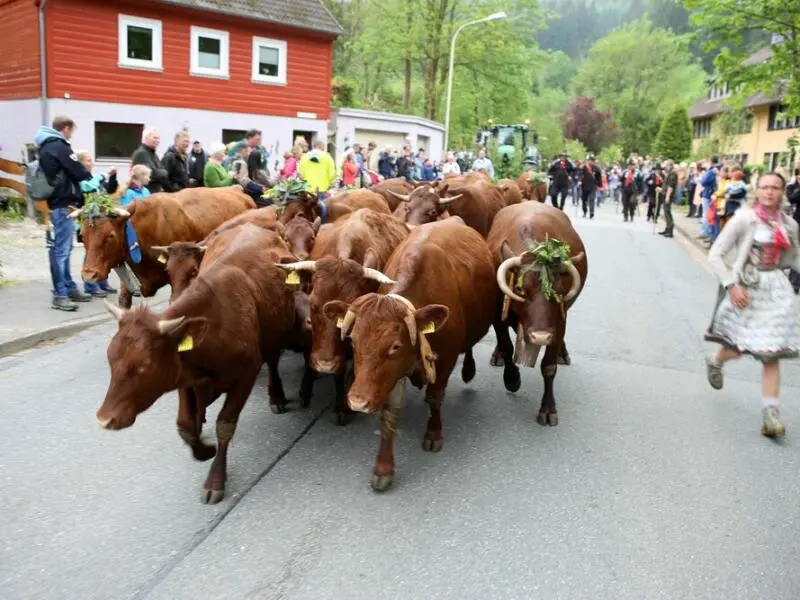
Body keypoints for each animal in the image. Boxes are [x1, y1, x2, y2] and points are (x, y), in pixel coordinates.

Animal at [94, 224, 306, 502]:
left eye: (144, 365)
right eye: (110, 358)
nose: (104, 419)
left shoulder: (246, 373)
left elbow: (225, 425)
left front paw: (215, 479)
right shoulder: (184, 375)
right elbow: (184, 426)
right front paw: (202, 449)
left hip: (275, 335)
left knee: (272, 363)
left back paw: (277, 397)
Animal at [322, 218, 496, 490]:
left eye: (395, 346)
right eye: (352, 339)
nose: (358, 401)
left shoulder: (445, 359)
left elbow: (435, 397)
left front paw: (433, 433)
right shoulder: (388, 379)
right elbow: (389, 412)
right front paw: (383, 468)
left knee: (468, 349)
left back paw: (468, 371)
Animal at [482, 202, 588, 426]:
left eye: (558, 290)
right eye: (520, 290)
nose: (540, 336)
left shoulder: (558, 322)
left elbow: (549, 366)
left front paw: (548, 409)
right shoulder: (497, 315)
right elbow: (507, 346)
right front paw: (512, 379)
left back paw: (563, 354)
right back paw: (497, 356)